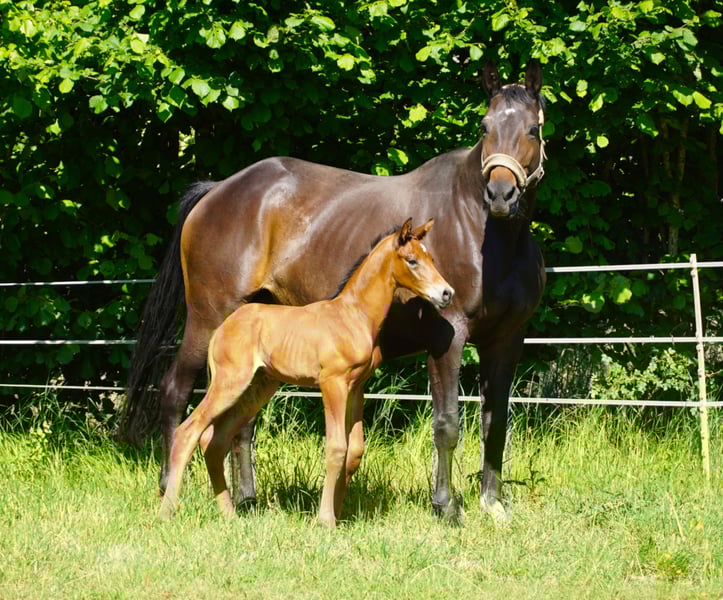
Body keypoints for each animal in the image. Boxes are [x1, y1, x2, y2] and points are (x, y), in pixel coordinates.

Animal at [159, 219, 453, 526]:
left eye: (431, 259)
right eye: (412, 260)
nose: (446, 293)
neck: (354, 315)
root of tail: (221, 329)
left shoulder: (357, 387)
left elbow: (354, 450)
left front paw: (338, 511)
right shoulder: (332, 383)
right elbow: (336, 447)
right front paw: (325, 519)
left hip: (257, 387)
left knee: (214, 440)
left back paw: (229, 514)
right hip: (230, 382)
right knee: (188, 431)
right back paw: (167, 511)